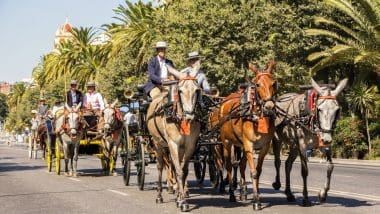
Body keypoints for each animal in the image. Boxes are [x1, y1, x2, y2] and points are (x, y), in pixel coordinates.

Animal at [146, 71, 202, 211]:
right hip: (158, 144)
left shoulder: (190, 146)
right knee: (160, 166)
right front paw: (183, 202)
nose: (190, 115)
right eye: (180, 91)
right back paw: (159, 196)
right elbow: (178, 171)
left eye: (197, 90)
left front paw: (180, 198)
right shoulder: (173, 144)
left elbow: (183, 171)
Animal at [211, 60, 276, 211]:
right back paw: (231, 193)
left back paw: (242, 192)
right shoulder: (248, 145)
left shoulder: (264, 147)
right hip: (226, 142)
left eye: (274, 83)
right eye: (257, 84)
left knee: (239, 164)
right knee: (228, 165)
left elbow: (257, 171)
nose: (269, 107)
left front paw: (254, 195)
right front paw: (256, 201)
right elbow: (252, 172)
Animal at [272, 77, 348, 205]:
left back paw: (289, 193)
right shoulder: (302, 145)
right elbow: (305, 170)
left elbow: (330, 167)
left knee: (288, 164)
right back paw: (277, 183)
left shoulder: (324, 145)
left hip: (294, 146)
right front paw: (306, 198)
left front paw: (323, 194)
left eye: (337, 110)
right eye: (319, 109)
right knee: (277, 162)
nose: (326, 139)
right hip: (277, 139)